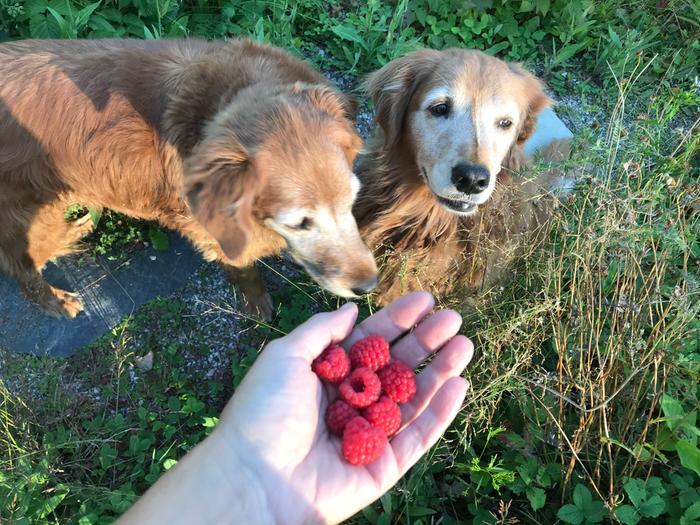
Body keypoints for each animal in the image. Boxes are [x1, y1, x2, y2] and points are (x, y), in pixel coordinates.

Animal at [0, 37, 378, 320]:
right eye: (299, 223)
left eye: (351, 201)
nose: (369, 286)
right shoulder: (210, 229)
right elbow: (244, 266)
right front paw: (256, 301)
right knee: (21, 269)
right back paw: (56, 301)